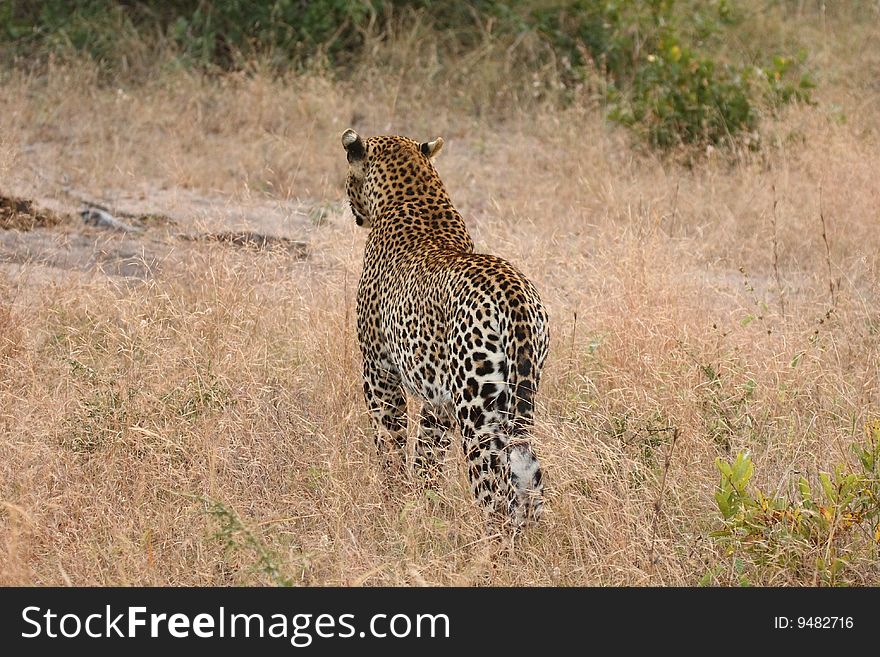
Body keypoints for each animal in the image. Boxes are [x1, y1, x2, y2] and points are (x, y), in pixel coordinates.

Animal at [340, 129, 548, 528]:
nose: (354, 213)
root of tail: (512, 290)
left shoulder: (378, 370)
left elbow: (390, 439)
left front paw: (392, 500)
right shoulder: (439, 398)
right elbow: (427, 453)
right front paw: (423, 503)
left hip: (478, 407)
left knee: (493, 488)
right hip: (518, 395)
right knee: (529, 476)